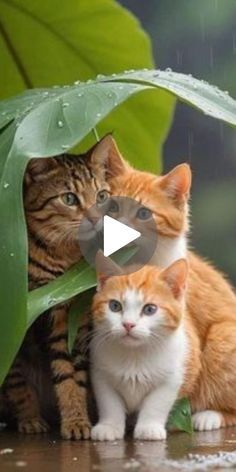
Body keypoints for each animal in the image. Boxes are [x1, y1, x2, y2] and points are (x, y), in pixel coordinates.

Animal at [2, 138, 117, 440]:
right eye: (69, 199)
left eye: (101, 196)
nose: (95, 218)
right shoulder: (27, 316)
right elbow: (19, 379)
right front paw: (33, 418)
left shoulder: (74, 316)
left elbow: (72, 374)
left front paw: (78, 418)